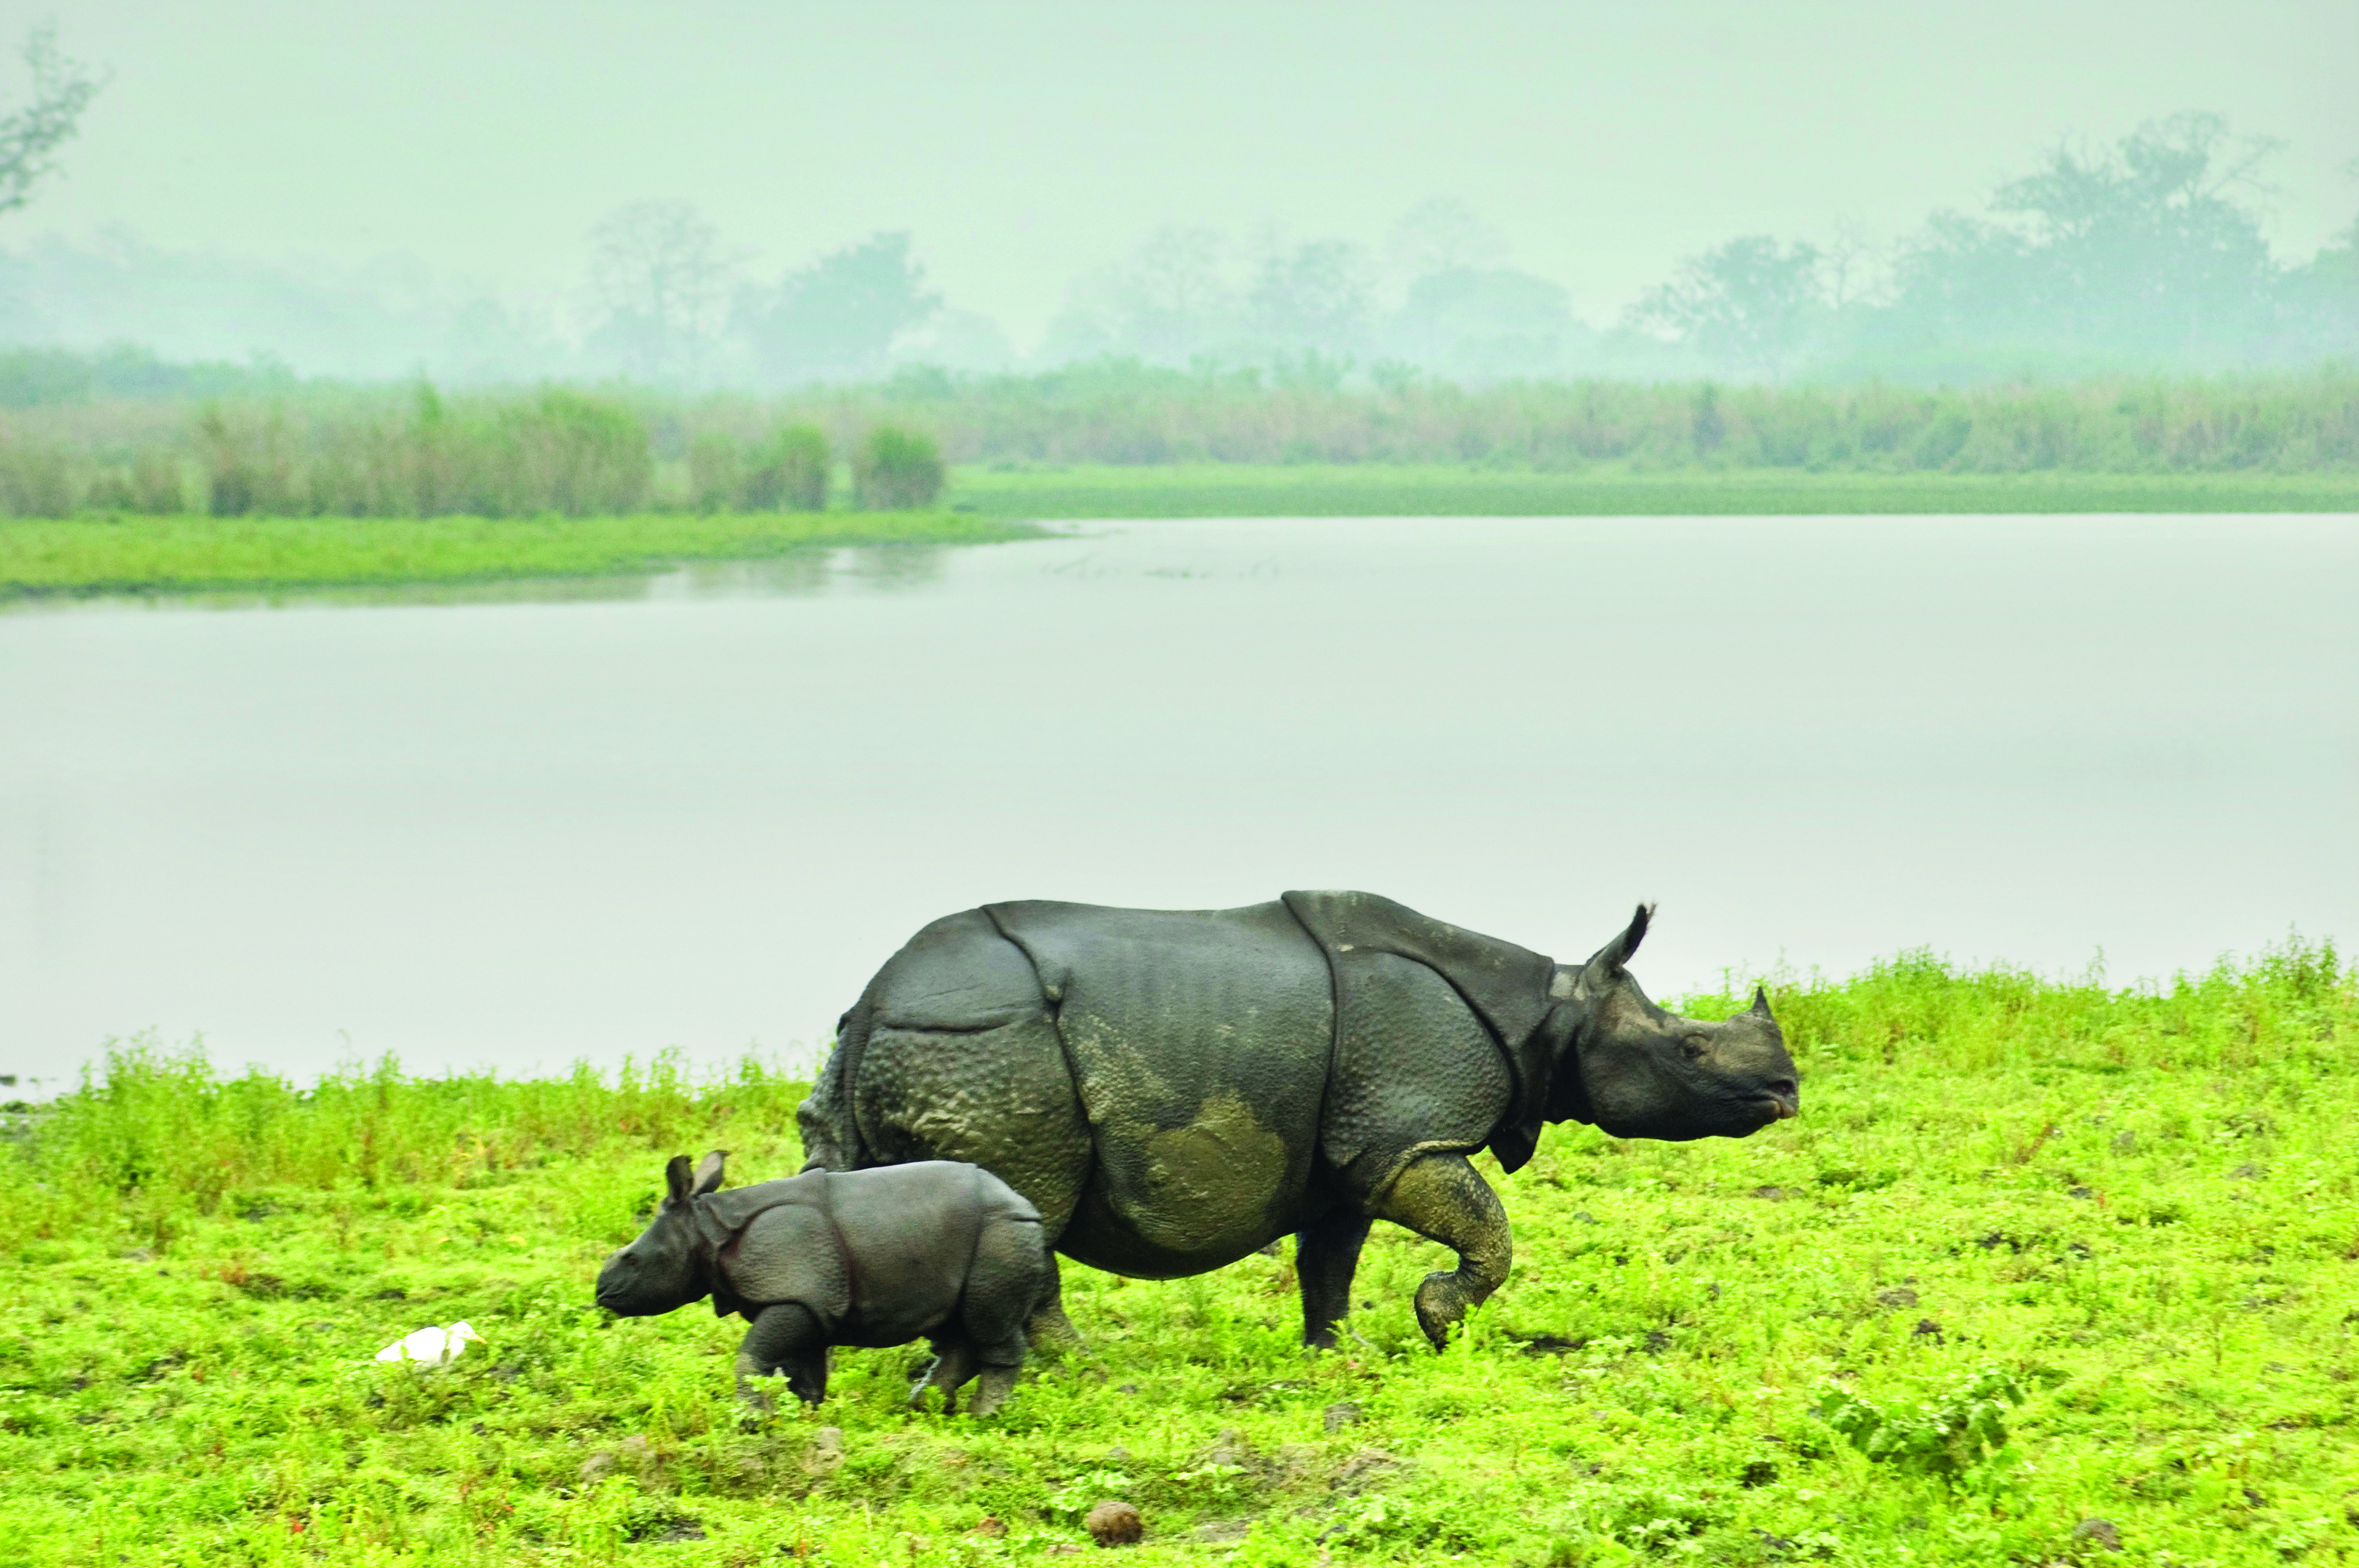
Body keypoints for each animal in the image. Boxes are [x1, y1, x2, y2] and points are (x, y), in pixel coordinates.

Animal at [594, 1151, 1052, 1414]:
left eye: (633, 1259)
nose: (601, 1292)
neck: (707, 1228)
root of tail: (1024, 1203)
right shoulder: (807, 1300)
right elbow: (805, 1369)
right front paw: (804, 1416)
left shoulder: (794, 1294)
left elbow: (751, 1357)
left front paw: (752, 1421)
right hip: (978, 1237)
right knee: (959, 1326)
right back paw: (923, 1407)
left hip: (1001, 1231)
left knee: (987, 1322)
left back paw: (983, 1416)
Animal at [795, 893, 1798, 1353]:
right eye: (1690, 1050)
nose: (1787, 1090)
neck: (1552, 1010)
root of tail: (873, 1001)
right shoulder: (1408, 1135)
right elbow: (1489, 1229)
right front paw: (1438, 1320)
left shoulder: (1355, 1147)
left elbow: (1330, 1259)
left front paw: (1337, 1352)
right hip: (989, 1044)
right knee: (1022, 1211)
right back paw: (1074, 1367)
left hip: (918, 1047)